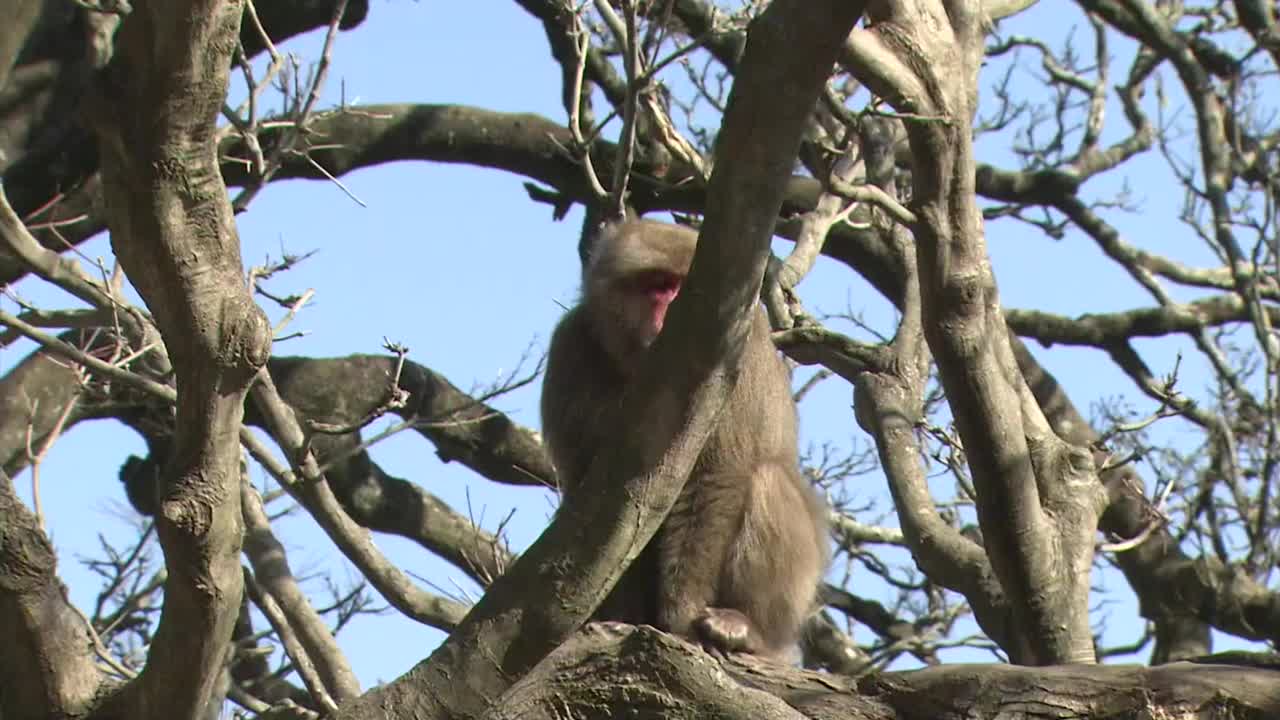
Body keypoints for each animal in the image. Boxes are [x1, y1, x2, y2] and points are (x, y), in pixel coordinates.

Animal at [540, 217, 829, 655]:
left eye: (680, 285)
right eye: (657, 285)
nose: (671, 311)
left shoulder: (733, 353)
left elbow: (717, 473)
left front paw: (680, 613)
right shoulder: (570, 347)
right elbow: (592, 506)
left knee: (767, 478)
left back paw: (747, 627)